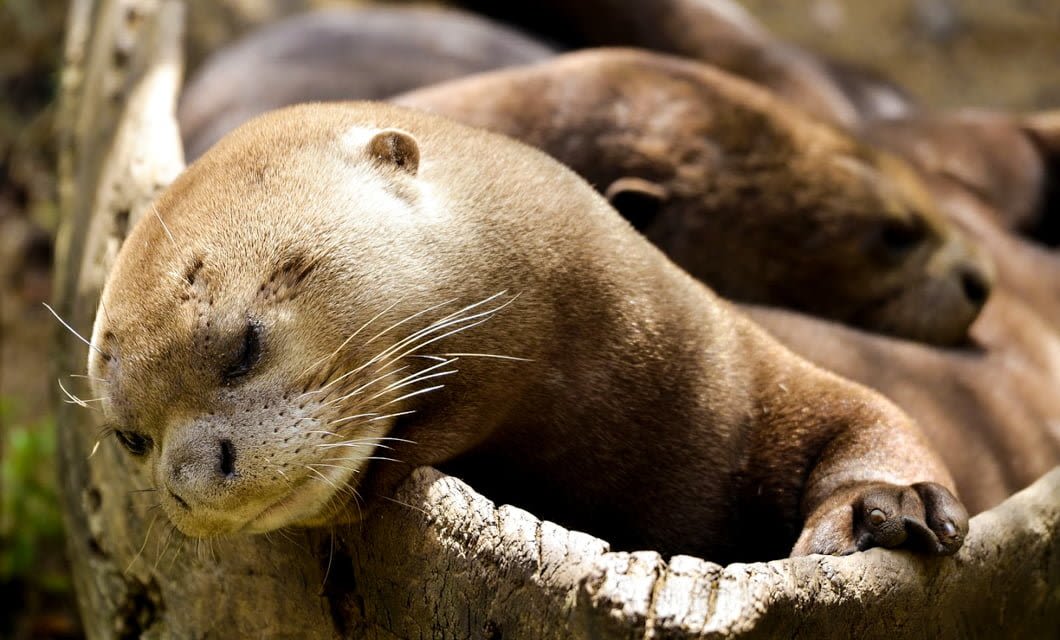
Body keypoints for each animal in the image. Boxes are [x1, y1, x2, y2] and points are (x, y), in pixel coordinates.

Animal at [88, 103, 966, 563]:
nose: (192, 481)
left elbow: (868, 413)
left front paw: (887, 508)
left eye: (243, 345)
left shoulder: (749, 374)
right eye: (131, 438)